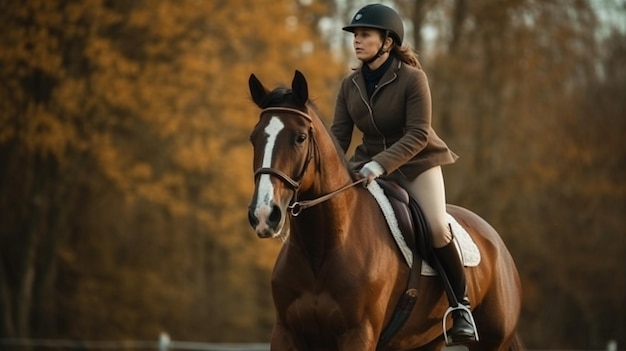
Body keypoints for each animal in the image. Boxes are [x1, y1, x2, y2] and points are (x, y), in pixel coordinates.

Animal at [246, 71, 520, 351]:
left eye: (300, 138)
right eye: (253, 138)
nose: (264, 215)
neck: (320, 250)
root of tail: (496, 241)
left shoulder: (359, 334)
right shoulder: (285, 334)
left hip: (492, 341)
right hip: (424, 342)